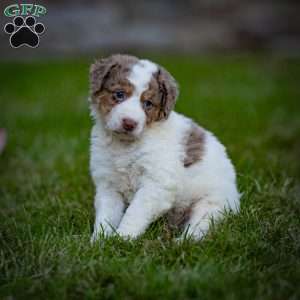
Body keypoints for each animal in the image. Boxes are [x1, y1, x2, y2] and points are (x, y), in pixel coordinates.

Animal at [88, 54, 239, 241]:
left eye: (148, 103)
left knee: (198, 229)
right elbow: (106, 215)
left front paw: (123, 238)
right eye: (119, 94)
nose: (129, 123)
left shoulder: (156, 184)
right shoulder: (108, 184)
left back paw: (180, 242)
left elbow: (135, 212)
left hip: (212, 205)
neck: (125, 145)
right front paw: (99, 241)